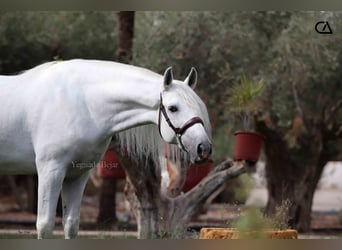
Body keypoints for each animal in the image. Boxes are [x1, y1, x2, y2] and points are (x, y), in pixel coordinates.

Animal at [0, 59, 211, 239]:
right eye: (173, 108)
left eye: (198, 106)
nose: (204, 147)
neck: (81, 103)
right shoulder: (50, 171)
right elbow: (44, 225)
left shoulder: (77, 175)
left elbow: (71, 224)